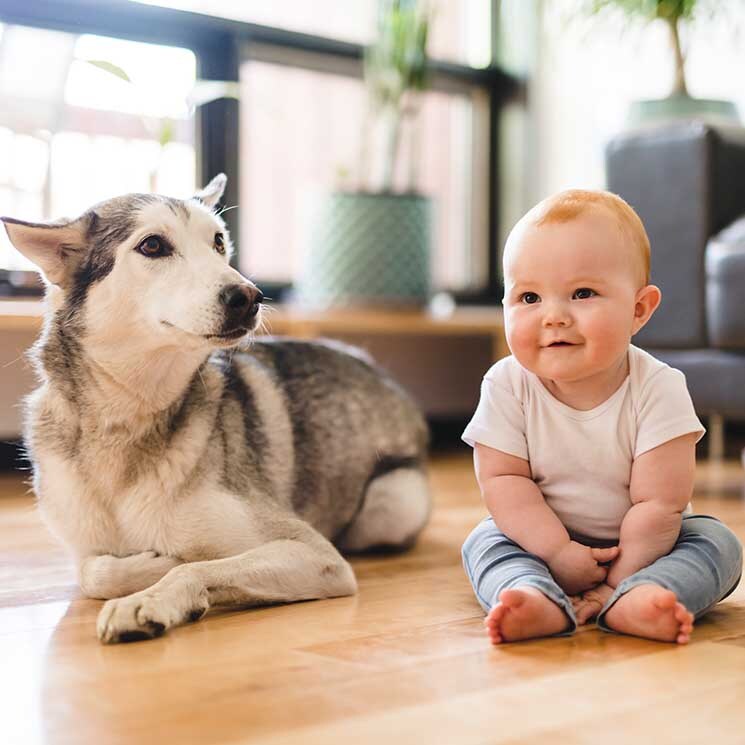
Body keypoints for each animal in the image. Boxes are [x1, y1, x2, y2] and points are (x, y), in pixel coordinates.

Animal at [1, 176, 430, 644]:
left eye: (219, 242)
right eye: (153, 246)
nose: (250, 296)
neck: (129, 417)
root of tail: (370, 363)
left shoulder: (316, 554)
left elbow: (194, 566)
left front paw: (152, 593)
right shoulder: (85, 548)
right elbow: (93, 572)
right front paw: (151, 566)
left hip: (393, 502)